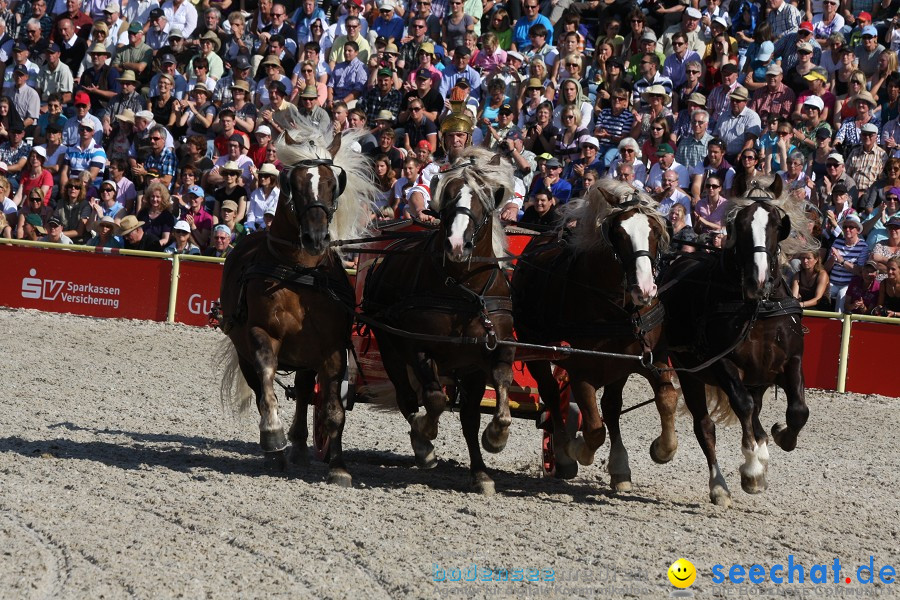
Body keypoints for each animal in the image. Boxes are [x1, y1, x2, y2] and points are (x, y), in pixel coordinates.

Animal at [220, 123, 378, 488]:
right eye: (294, 183)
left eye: (333, 183)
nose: (316, 238)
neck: (300, 272)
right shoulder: (261, 335)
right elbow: (267, 382)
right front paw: (273, 436)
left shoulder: (332, 348)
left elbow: (333, 408)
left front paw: (338, 466)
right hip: (244, 352)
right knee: (262, 389)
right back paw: (280, 450)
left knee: (306, 392)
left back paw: (301, 447)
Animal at [358, 148, 512, 494]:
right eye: (449, 197)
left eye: (484, 200)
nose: (455, 245)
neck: (464, 289)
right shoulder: (420, 348)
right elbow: (434, 399)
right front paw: (424, 436)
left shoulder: (489, 353)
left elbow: (496, 390)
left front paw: (495, 440)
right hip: (389, 348)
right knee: (407, 397)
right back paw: (422, 444)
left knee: (465, 416)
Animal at [510, 183, 680, 492]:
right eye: (619, 233)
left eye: (655, 231)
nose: (645, 289)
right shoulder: (582, 370)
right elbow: (593, 429)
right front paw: (576, 450)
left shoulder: (645, 359)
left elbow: (666, 397)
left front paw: (662, 449)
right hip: (535, 346)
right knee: (551, 393)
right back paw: (562, 453)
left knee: (609, 408)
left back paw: (618, 467)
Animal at [656, 173, 812, 506]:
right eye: (738, 224)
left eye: (777, 224)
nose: (758, 280)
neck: (758, 308)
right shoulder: (723, 363)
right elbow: (742, 406)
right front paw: (752, 471)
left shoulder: (791, 361)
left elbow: (797, 410)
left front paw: (781, 435)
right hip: (691, 372)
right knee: (707, 425)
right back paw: (719, 485)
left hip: (758, 377)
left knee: (756, 411)